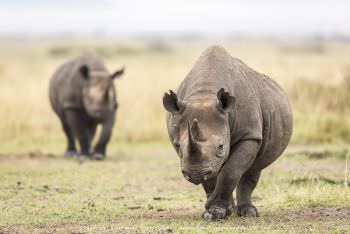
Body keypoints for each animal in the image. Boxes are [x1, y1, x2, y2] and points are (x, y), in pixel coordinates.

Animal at [163, 46, 292, 221]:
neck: (204, 94)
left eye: (221, 147)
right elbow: (212, 176)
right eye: (178, 146)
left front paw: (215, 211)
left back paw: (248, 213)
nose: (195, 174)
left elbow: (230, 172)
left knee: (252, 169)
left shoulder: (249, 135)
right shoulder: (201, 159)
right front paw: (215, 212)